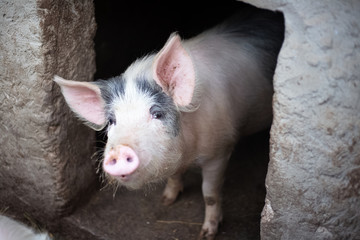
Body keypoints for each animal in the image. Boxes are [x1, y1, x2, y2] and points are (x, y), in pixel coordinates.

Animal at [53, 6, 284, 240]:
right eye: (112, 120)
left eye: (156, 113)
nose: (119, 150)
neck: (189, 154)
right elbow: (173, 176)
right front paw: (166, 200)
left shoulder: (220, 150)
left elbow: (209, 194)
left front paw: (207, 234)